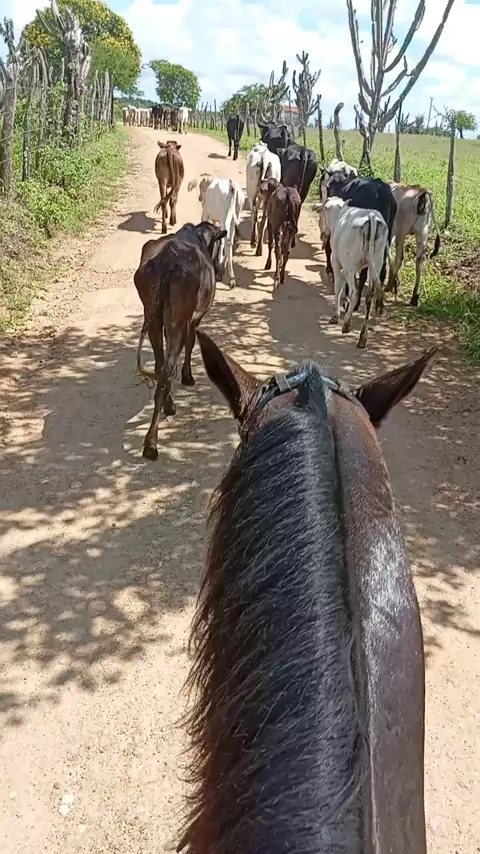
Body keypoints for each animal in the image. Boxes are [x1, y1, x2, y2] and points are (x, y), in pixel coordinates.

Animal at [134, 222, 227, 461]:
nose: (219, 270)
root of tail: (166, 258)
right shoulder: (194, 319)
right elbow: (191, 343)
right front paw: (187, 375)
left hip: (152, 317)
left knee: (160, 366)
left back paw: (167, 405)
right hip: (177, 318)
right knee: (166, 369)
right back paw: (151, 442)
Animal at [313, 197, 389, 349]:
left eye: (324, 211)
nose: (324, 233)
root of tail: (371, 217)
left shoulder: (336, 262)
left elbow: (338, 288)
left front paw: (335, 316)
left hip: (350, 265)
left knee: (355, 292)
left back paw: (347, 324)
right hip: (376, 263)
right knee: (370, 297)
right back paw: (362, 337)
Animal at [320, 174, 397, 313]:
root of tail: (380, 191)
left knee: (363, 275)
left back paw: (354, 304)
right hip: (383, 241)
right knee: (381, 271)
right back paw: (378, 305)